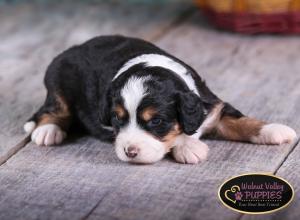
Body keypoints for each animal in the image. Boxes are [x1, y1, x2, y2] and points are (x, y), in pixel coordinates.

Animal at [24, 35, 298, 164]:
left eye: (156, 121)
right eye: (117, 119)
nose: (130, 152)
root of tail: (75, 48)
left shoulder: (212, 109)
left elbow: (240, 121)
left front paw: (274, 130)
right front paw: (190, 148)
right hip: (58, 77)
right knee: (53, 108)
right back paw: (47, 131)